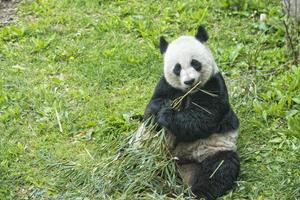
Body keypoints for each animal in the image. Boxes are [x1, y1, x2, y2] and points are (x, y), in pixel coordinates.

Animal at [144, 25, 240, 199]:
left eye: (195, 63)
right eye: (177, 68)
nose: (189, 81)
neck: (189, 91)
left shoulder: (213, 85)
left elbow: (202, 118)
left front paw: (167, 115)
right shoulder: (166, 85)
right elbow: (151, 107)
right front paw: (162, 108)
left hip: (212, 148)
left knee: (220, 168)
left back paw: (198, 192)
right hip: (157, 152)